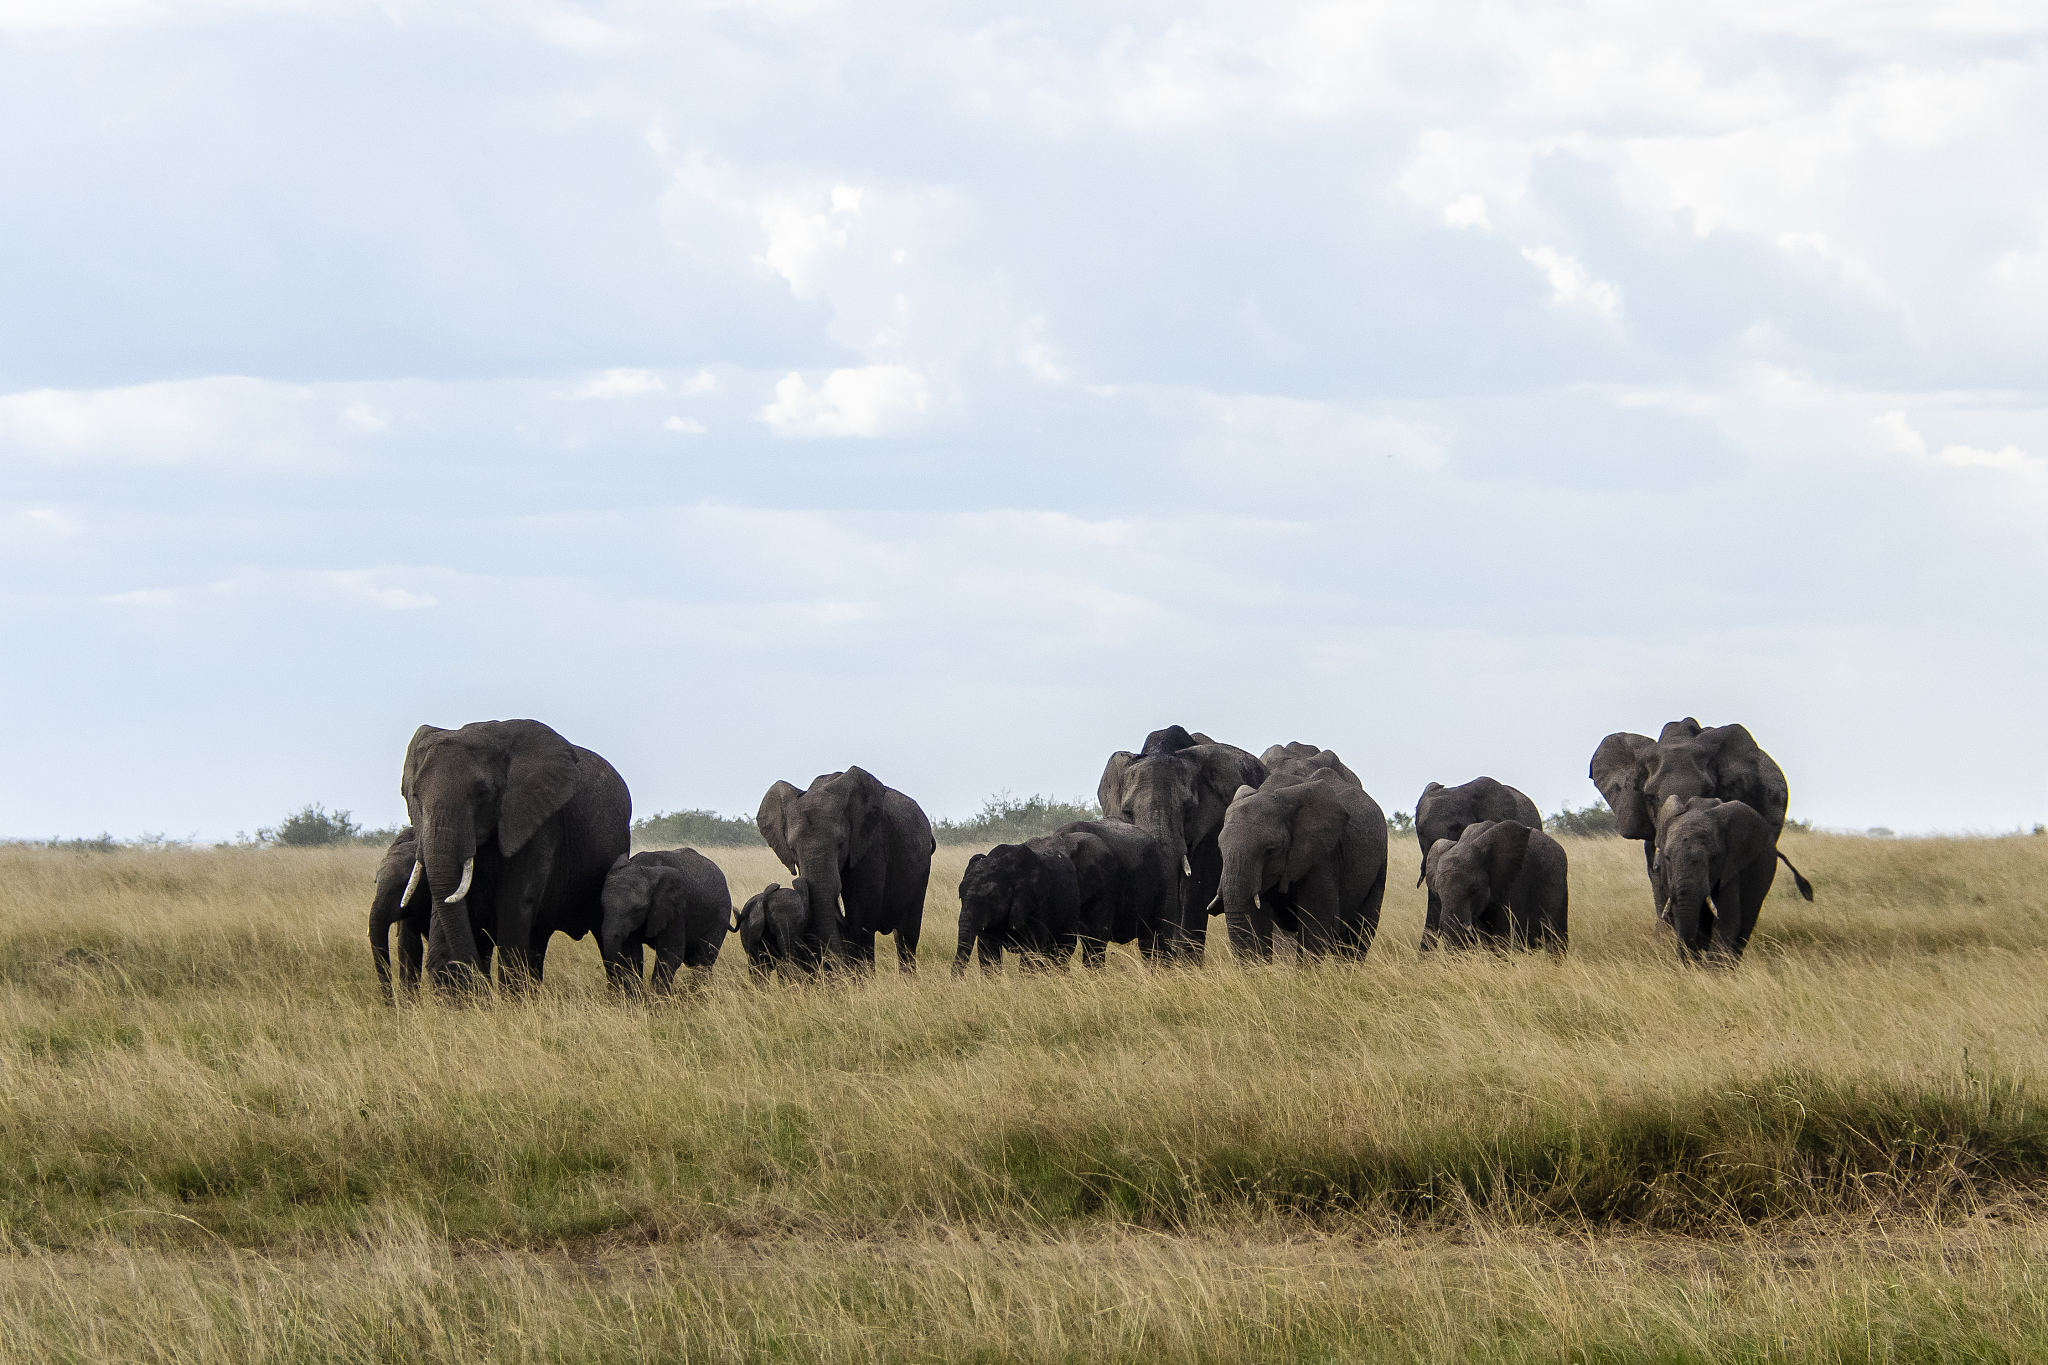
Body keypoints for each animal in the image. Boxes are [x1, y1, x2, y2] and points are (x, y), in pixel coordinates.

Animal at [598, 849, 731, 996]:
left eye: (638, 910)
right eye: (602, 906)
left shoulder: (677, 908)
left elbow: (670, 954)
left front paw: (658, 999)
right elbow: (631, 953)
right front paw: (635, 996)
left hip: (721, 914)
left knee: (706, 957)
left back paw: (701, 993)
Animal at [757, 767, 934, 972]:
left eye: (841, 843)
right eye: (792, 849)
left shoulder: (871, 845)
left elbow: (860, 917)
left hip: (922, 870)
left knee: (907, 937)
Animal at [954, 837, 1079, 974]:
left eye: (992, 898)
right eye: (960, 897)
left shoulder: (1037, 902)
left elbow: (1031, 951)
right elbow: (988, 952)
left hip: (1071, 910)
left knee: (1061, 951)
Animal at [1215, 759, 1388, 963]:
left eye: (1269, 851)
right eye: (1220, 850)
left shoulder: (1322, 856)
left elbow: (1314, 924)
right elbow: (1257, 923)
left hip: (1380, 865)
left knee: (1359, 933)